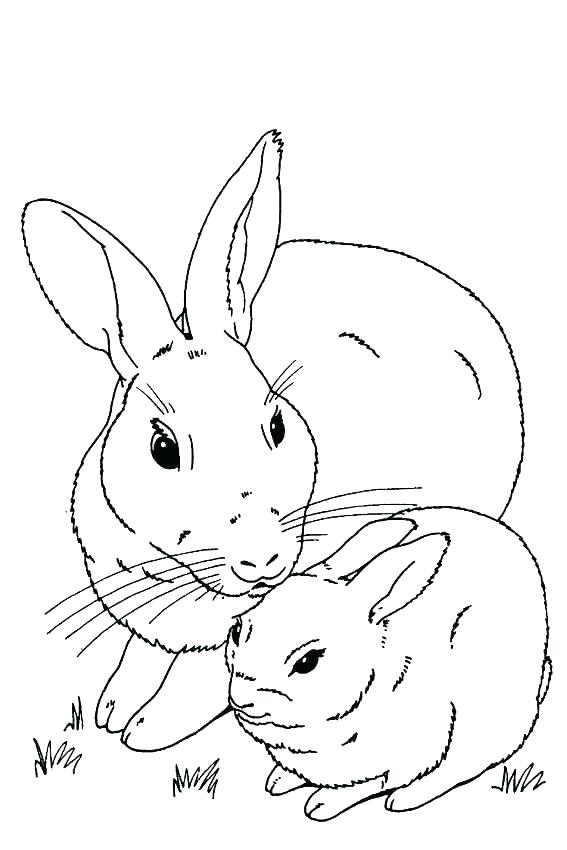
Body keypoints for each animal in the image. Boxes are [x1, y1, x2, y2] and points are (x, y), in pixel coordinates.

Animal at [23, 130, 523, 751]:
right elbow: (143, 652)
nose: (263, 557)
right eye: (162, 448)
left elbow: (211, 676)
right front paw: (112, 706)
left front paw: (144, 728)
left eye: (278, 424)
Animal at [226, 507, 551, 820]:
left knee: (463, 766)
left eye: (308, 661)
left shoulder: (414, 749)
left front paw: (321, 803)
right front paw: (280, 779)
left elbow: (372, 783)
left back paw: (405, 799)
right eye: (237, 631)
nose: (240, 700)